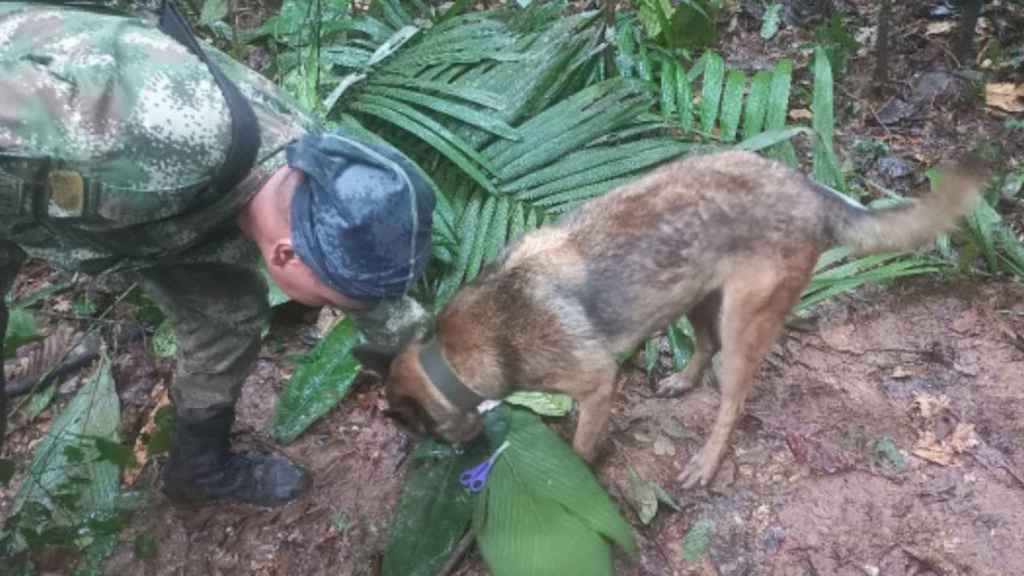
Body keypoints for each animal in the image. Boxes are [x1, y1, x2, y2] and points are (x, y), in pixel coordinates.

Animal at [382, 150, 983, 485]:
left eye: (421, 432)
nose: (460, 455)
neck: (455, 354)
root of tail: (809, 189)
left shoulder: (596, 385)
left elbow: (580, 446)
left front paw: (579, 475)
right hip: (695, 294)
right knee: (705, 345)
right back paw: (682, 380)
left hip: (743, 323)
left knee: (732, 399)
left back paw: (707, 462)